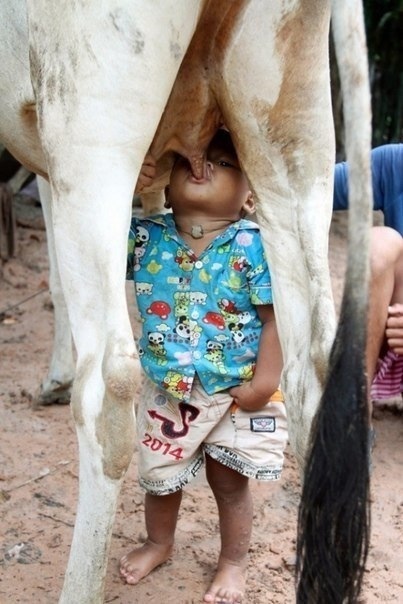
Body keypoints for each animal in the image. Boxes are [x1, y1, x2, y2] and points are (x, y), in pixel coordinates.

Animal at [0, 1, 372, 604]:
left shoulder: (51, 158)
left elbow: (56, 277)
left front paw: (54, 378)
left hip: (91, 120)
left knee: (109, 386)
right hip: (293, 131)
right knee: (312, 369)